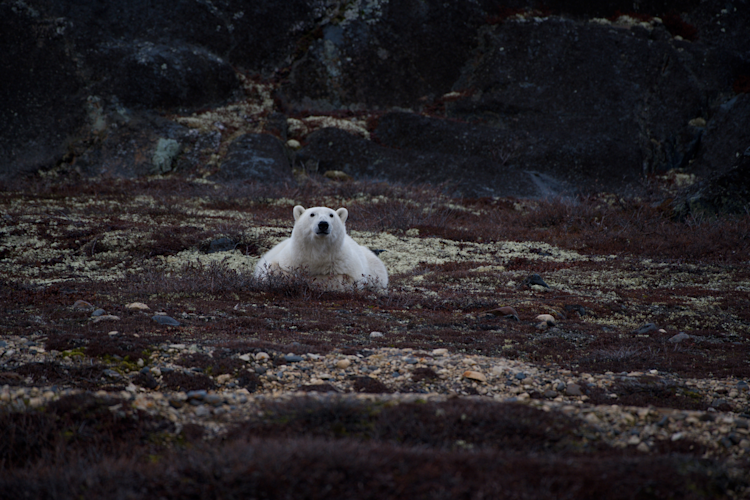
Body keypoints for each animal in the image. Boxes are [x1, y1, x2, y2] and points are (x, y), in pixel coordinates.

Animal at [254, 205, 388, 290]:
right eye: (312, 214)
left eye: (331, 215)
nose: (323, 224)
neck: (318, 251)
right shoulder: (290, 258)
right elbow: (273, 270)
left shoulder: (347, 265)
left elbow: (343, 279)